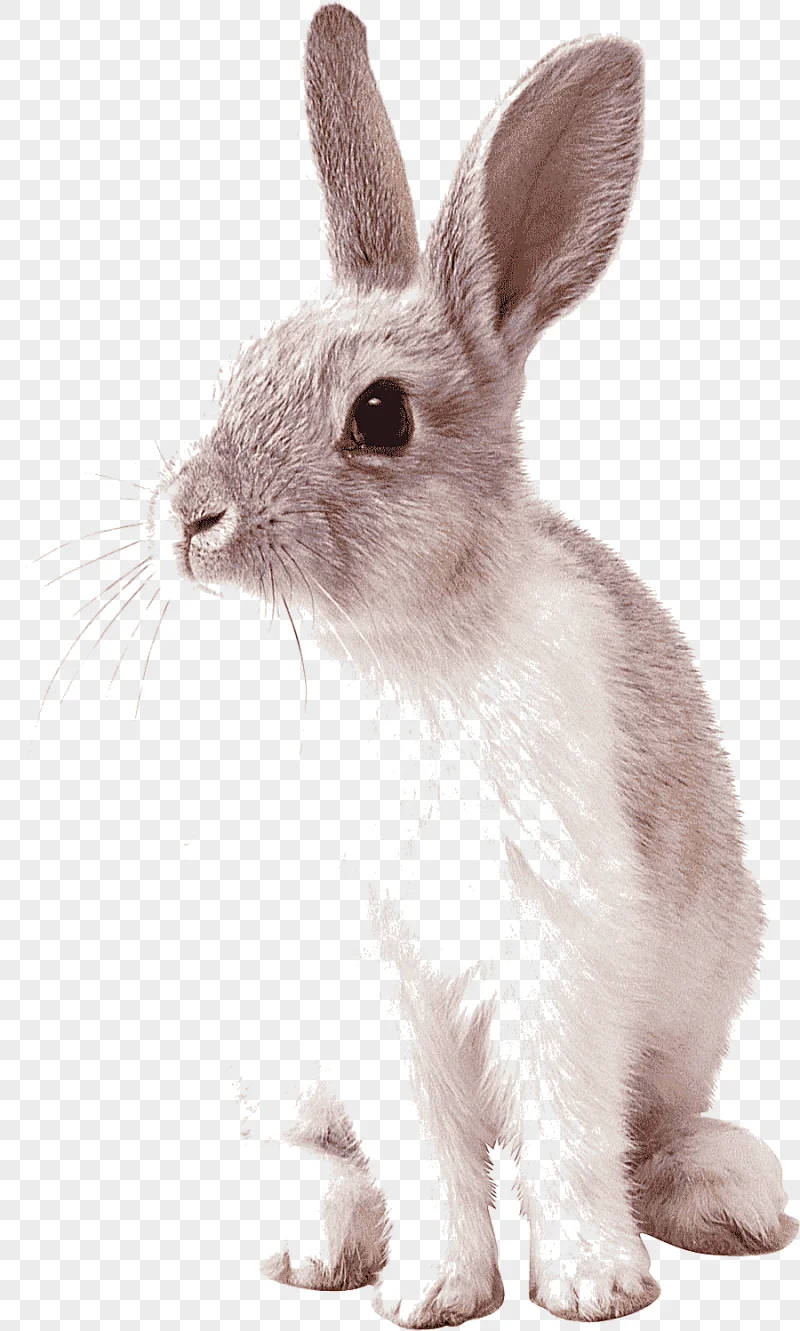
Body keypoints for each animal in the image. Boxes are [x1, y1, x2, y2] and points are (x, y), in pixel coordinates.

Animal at [166, 5, 797, 1325]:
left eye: (381, 415)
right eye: (240, 370)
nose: (188, 515)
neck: (411, 639)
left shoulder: (559, 946)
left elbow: (564, 1134)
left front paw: (594, 1282)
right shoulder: (378, 980)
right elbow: (423, 1144)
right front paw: (434, 1289)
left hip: (695, 1003)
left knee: (647, 1126)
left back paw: (727, 1195)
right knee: (318, 1145)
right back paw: (318, 1240)